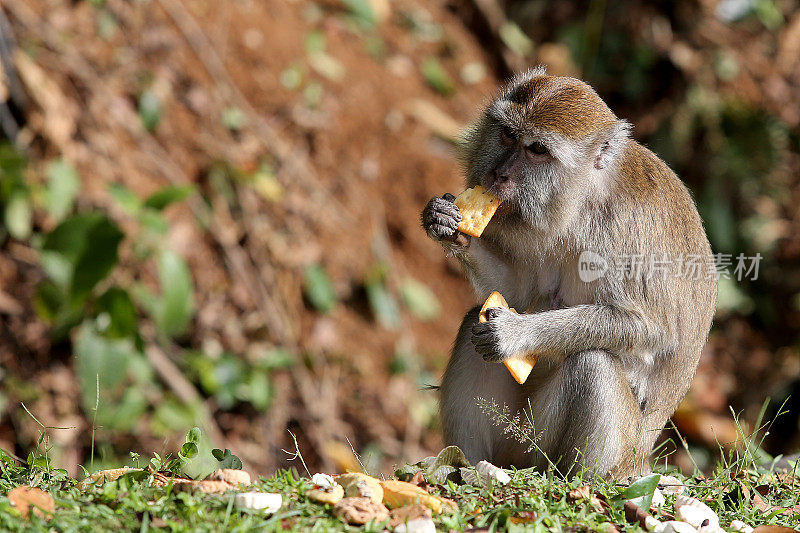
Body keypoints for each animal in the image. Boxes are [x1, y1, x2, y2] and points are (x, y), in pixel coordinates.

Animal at [422, 67, 716, 478]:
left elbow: (648, 328)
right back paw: (467, 462)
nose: (497, 174)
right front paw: (445, 222)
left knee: (594, 364)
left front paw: (515, 333)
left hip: (588, 448)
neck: (585, 200)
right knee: (470, 327)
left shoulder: (624, 232)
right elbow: (519, 291)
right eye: (508, 134)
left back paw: (576, 479)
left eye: (537, 150)